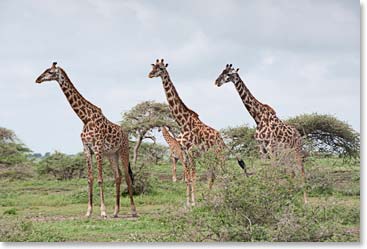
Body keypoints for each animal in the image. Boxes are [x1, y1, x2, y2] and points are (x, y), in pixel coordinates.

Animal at [35, 62, 138, 218]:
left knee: (127, 176)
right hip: (112, 154)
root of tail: (125, 133)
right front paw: (88, 212)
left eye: (50, 72)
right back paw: (115, 211)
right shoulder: (87, 149)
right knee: (118, 176)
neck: (85, 118)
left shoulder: (98, 148)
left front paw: (103, 211)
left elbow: (100, 180)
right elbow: (90, 179)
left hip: (123, 151)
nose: (38, 79)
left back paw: (133, 211)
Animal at [148, 58, 226, 206]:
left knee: (222, 172)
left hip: (218, 154)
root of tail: (222, 139)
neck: (183, 123)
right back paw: (208, 197)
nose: (150, 74)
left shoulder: (192, 152)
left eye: (161, 68)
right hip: (208, 156)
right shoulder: (184, 152)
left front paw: (194, 202)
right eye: (153, 66)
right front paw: (188, 202)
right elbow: (188, 178)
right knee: (212, 174)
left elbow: (192, 177)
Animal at [214, 63, 310, 203]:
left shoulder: (270, 146)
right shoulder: (261, 147)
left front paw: (274, 195)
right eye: (222, 72)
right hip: (285, 153)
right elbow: (264, 168)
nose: (216, 82)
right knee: (291, 172)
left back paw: (305, 200)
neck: (257, 117)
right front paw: (265, 194)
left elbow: (273, 169)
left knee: (301, 171)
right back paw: (290, 194)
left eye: (229, 74)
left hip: (296, 150)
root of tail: (298, 134)